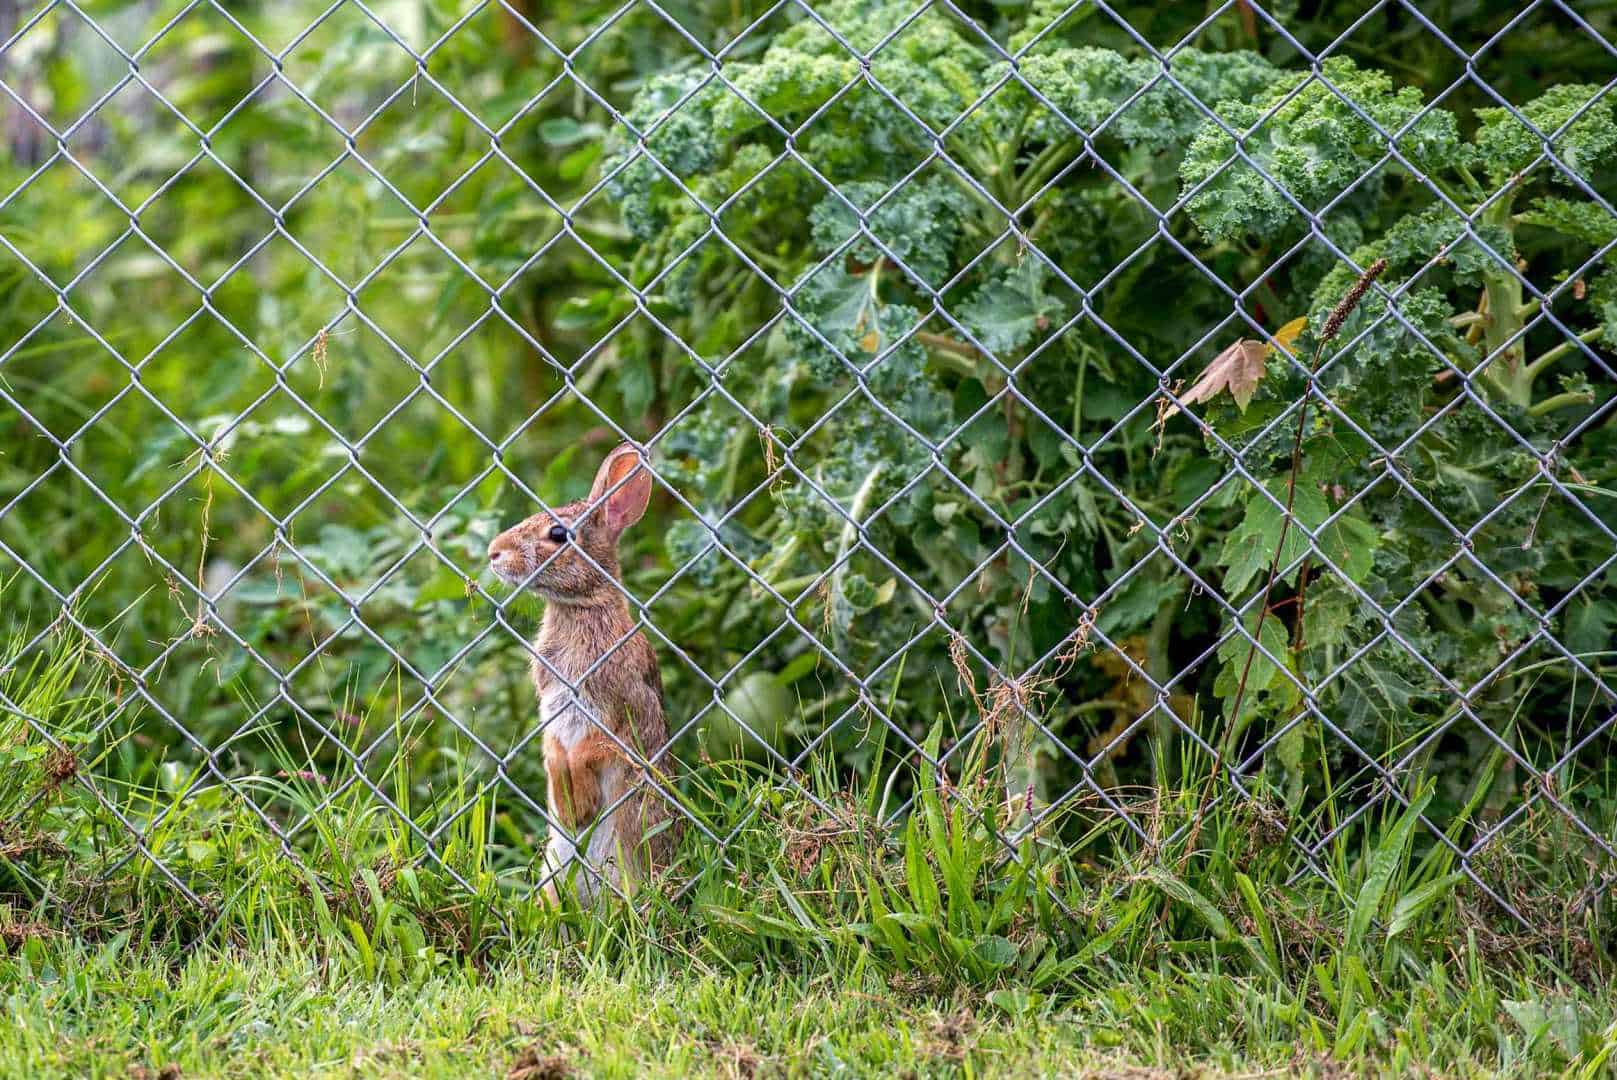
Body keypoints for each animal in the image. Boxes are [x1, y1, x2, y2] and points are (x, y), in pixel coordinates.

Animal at [481, 439, 679, 905]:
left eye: (558, 535)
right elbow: (554, 751)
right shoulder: (551, 707)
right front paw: (569, 805)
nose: (494, 552)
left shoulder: (621, 707)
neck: (580, 607)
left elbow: (593, 749)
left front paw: (582, 803)